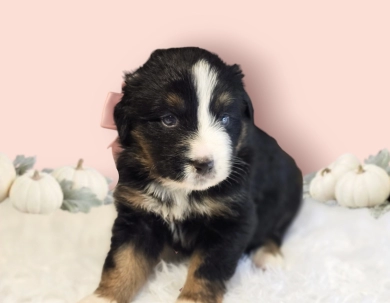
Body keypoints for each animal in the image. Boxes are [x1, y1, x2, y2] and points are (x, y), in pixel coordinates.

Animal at [79, 47, 304, 303]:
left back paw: (268, 256)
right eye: (169, 119)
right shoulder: (137, 214)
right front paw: (103, 297)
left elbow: (207, 268)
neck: (182, 189)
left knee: (275, 229)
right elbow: (123, 261)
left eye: (225, 118)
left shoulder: (232, 219)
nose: (204, 164)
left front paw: (192, 298)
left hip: (288, 195)